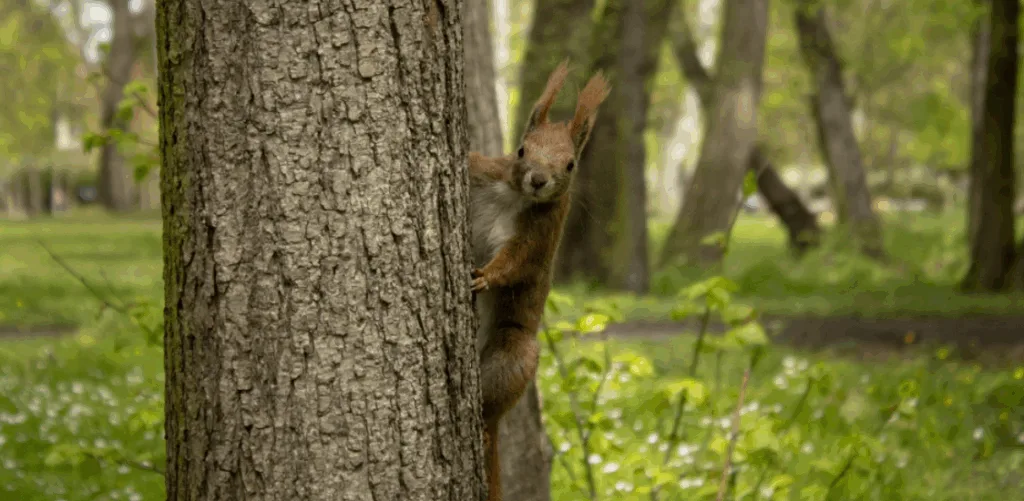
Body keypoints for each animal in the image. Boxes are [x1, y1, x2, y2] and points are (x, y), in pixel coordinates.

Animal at [467, 59, 611, 501]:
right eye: (521, 150)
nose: (538, 180)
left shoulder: (541, 235)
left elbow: (517, 263)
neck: (516, 195)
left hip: (514, 353)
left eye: (570, 165)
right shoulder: (483, 171)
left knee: (490, 408)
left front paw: (485, 278)